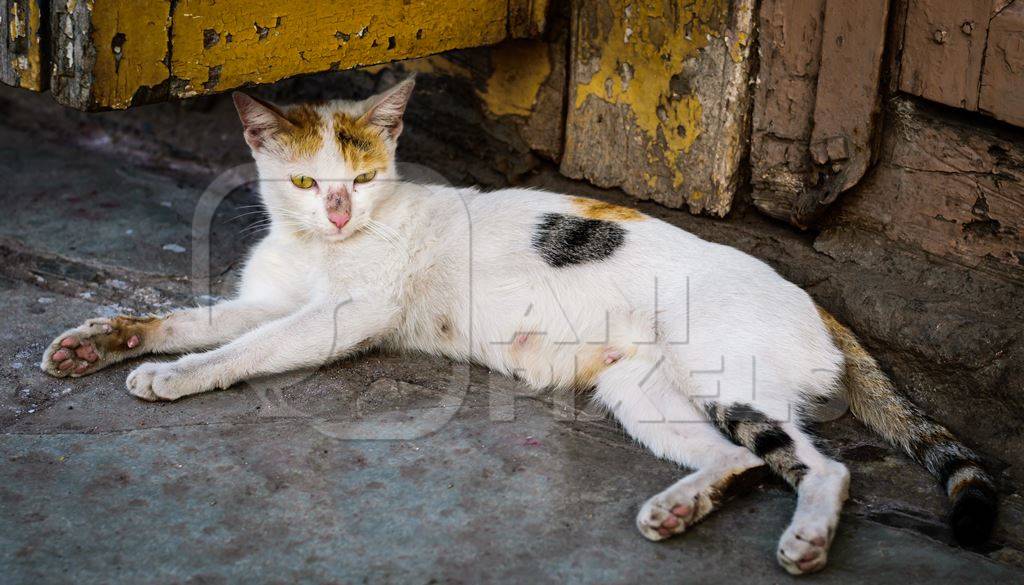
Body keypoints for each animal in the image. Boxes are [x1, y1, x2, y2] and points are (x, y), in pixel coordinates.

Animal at [39, 75, 991, 573]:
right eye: (307, 183)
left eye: (365, 177)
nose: (341, 213)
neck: (318, 249)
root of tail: (818, 302)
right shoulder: (270, 298)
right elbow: (185, 317)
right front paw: (105, 340)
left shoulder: (336, 319)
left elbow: (240, 347)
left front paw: (174, 377)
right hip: (639, 389)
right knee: (739, 460)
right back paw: (681, 506)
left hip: (730, 375)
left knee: (823, 466)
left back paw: (806, 538)